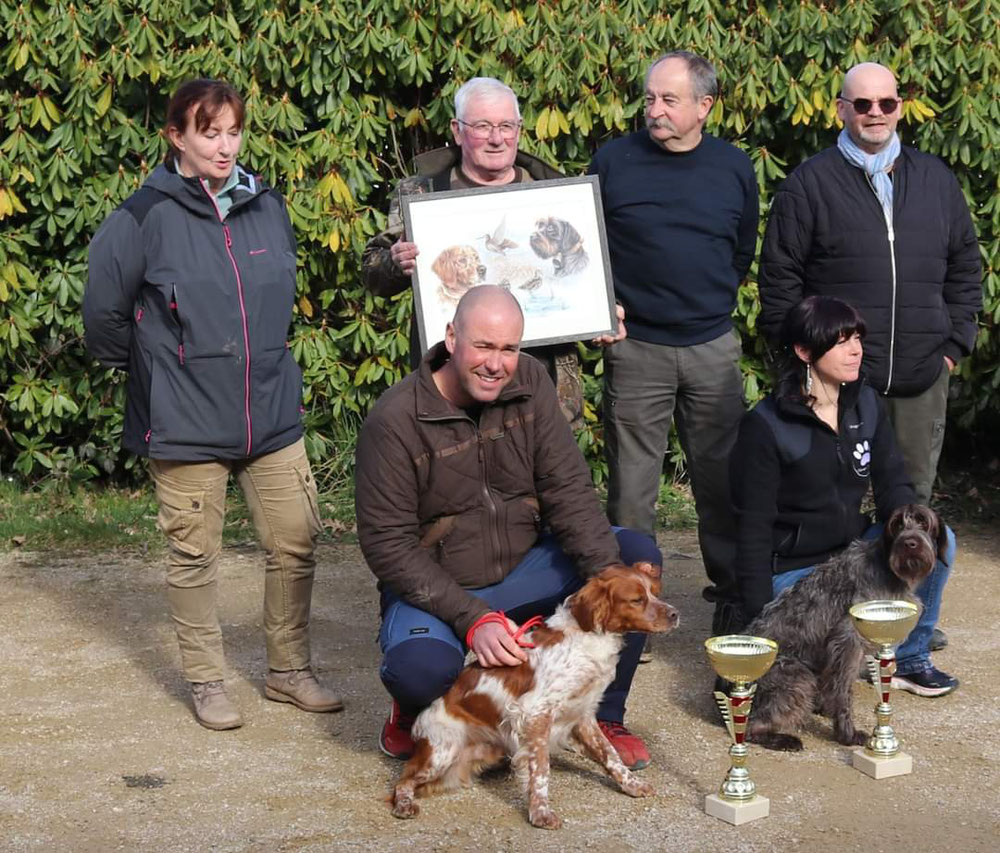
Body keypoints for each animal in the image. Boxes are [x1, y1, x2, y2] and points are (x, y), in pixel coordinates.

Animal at [748, 502, 948, 748]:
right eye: (897, 524)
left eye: (923, 523)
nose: (909, 543)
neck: (888, 570)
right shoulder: (848, 641)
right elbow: (844, 690)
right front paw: (847, 734)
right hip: (798, 678)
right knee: (750, 727)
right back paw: (783, 739)